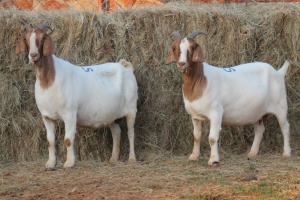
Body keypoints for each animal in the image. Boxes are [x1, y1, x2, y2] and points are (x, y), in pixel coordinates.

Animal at [16, 23, 138, 169]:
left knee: (131, 133)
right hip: (112, 115)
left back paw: (132, 159)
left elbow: (68, 140)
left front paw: (69, 163)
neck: (49, 80)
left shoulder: (70, 114)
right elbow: (50, 141)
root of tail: (125, 67)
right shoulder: (47, 117)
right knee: (116, 132)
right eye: (26, 39)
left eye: (43, 37)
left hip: (131, 108)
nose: (33, 55)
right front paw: (50, 164)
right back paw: (113, 159)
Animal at [165, 30, 292, 166]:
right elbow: (196, 136)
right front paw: (193, 156)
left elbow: (212, 138)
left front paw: (213, 160)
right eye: (175, 47)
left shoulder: (216, 113)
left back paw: (286, 153)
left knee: (285, 127)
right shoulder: (195, 116)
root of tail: (278, 72)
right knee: (259, 130)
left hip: (281, 106)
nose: (181, 64)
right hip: (259, 112)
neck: (200, 79)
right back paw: (252, 153)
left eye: (193, 47)